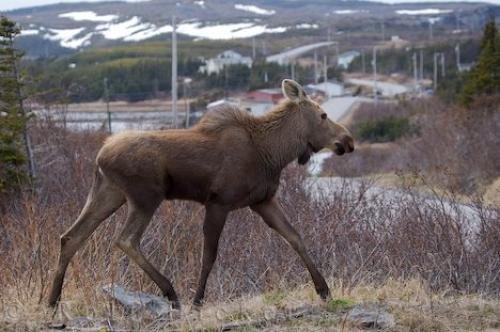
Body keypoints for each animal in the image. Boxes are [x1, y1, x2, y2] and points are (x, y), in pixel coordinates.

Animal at [46, 79, 352, 310]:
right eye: (323, 115)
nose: (347, 140)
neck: (274, 154)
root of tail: (100, 155)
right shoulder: (219, 202)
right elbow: (209, 255)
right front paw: (197, 300)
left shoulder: (263, 201)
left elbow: (295, 237)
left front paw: (324, 289)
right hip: (146, 196)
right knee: (126, 239)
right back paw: (171, 292)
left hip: (109, 192)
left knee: (71, 236)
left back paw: (52, 300)